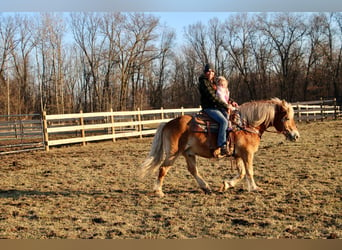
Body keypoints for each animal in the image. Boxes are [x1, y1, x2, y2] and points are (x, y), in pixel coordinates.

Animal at [139, 97, 300, 197]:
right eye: (286, 118)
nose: (296, 135)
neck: (246, 125)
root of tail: (167, 123)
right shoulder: (247, 154)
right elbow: (249, 172)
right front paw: (254, 188)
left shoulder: (237, 155)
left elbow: (242, 173)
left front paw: (226, 185)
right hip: (173, 153)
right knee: (163, 169)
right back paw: (159, 191)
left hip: (188, 153)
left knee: (193, 170)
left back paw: (206, 187)